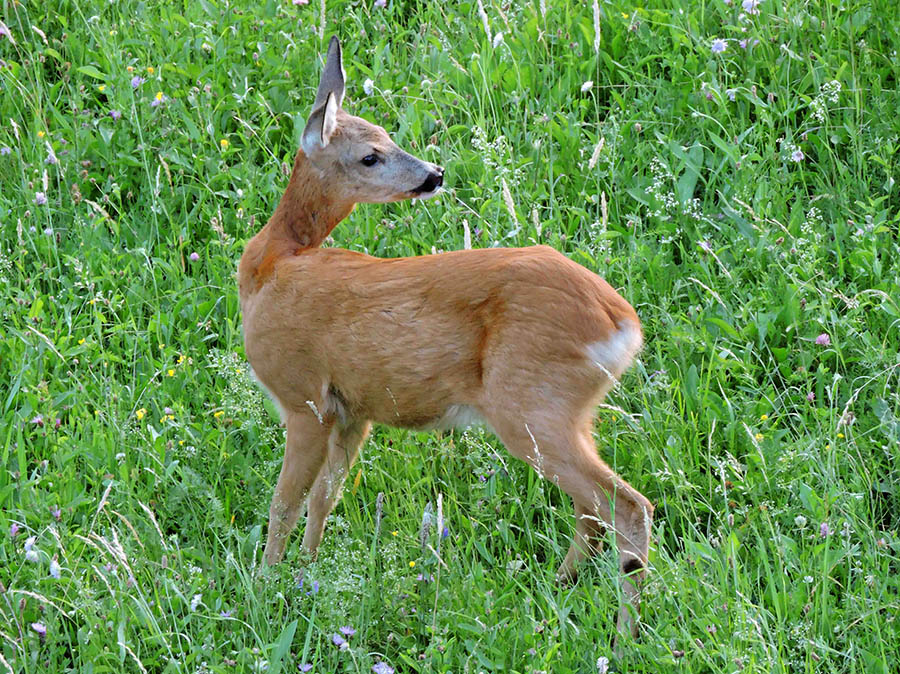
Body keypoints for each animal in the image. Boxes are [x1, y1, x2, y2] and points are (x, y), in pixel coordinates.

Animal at [239, 38, 652, 640]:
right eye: (373, 151)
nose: (434, 173)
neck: (274, 264)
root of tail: (622, 322)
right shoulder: (354, 411)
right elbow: (324, 498)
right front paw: (307, 575)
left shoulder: (304, 398)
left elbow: (283, 503)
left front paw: (266, 587)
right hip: (569, 413)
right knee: (592, 509)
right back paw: (557, 592)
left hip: (531, 404)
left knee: (625, 506)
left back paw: (622, 636)